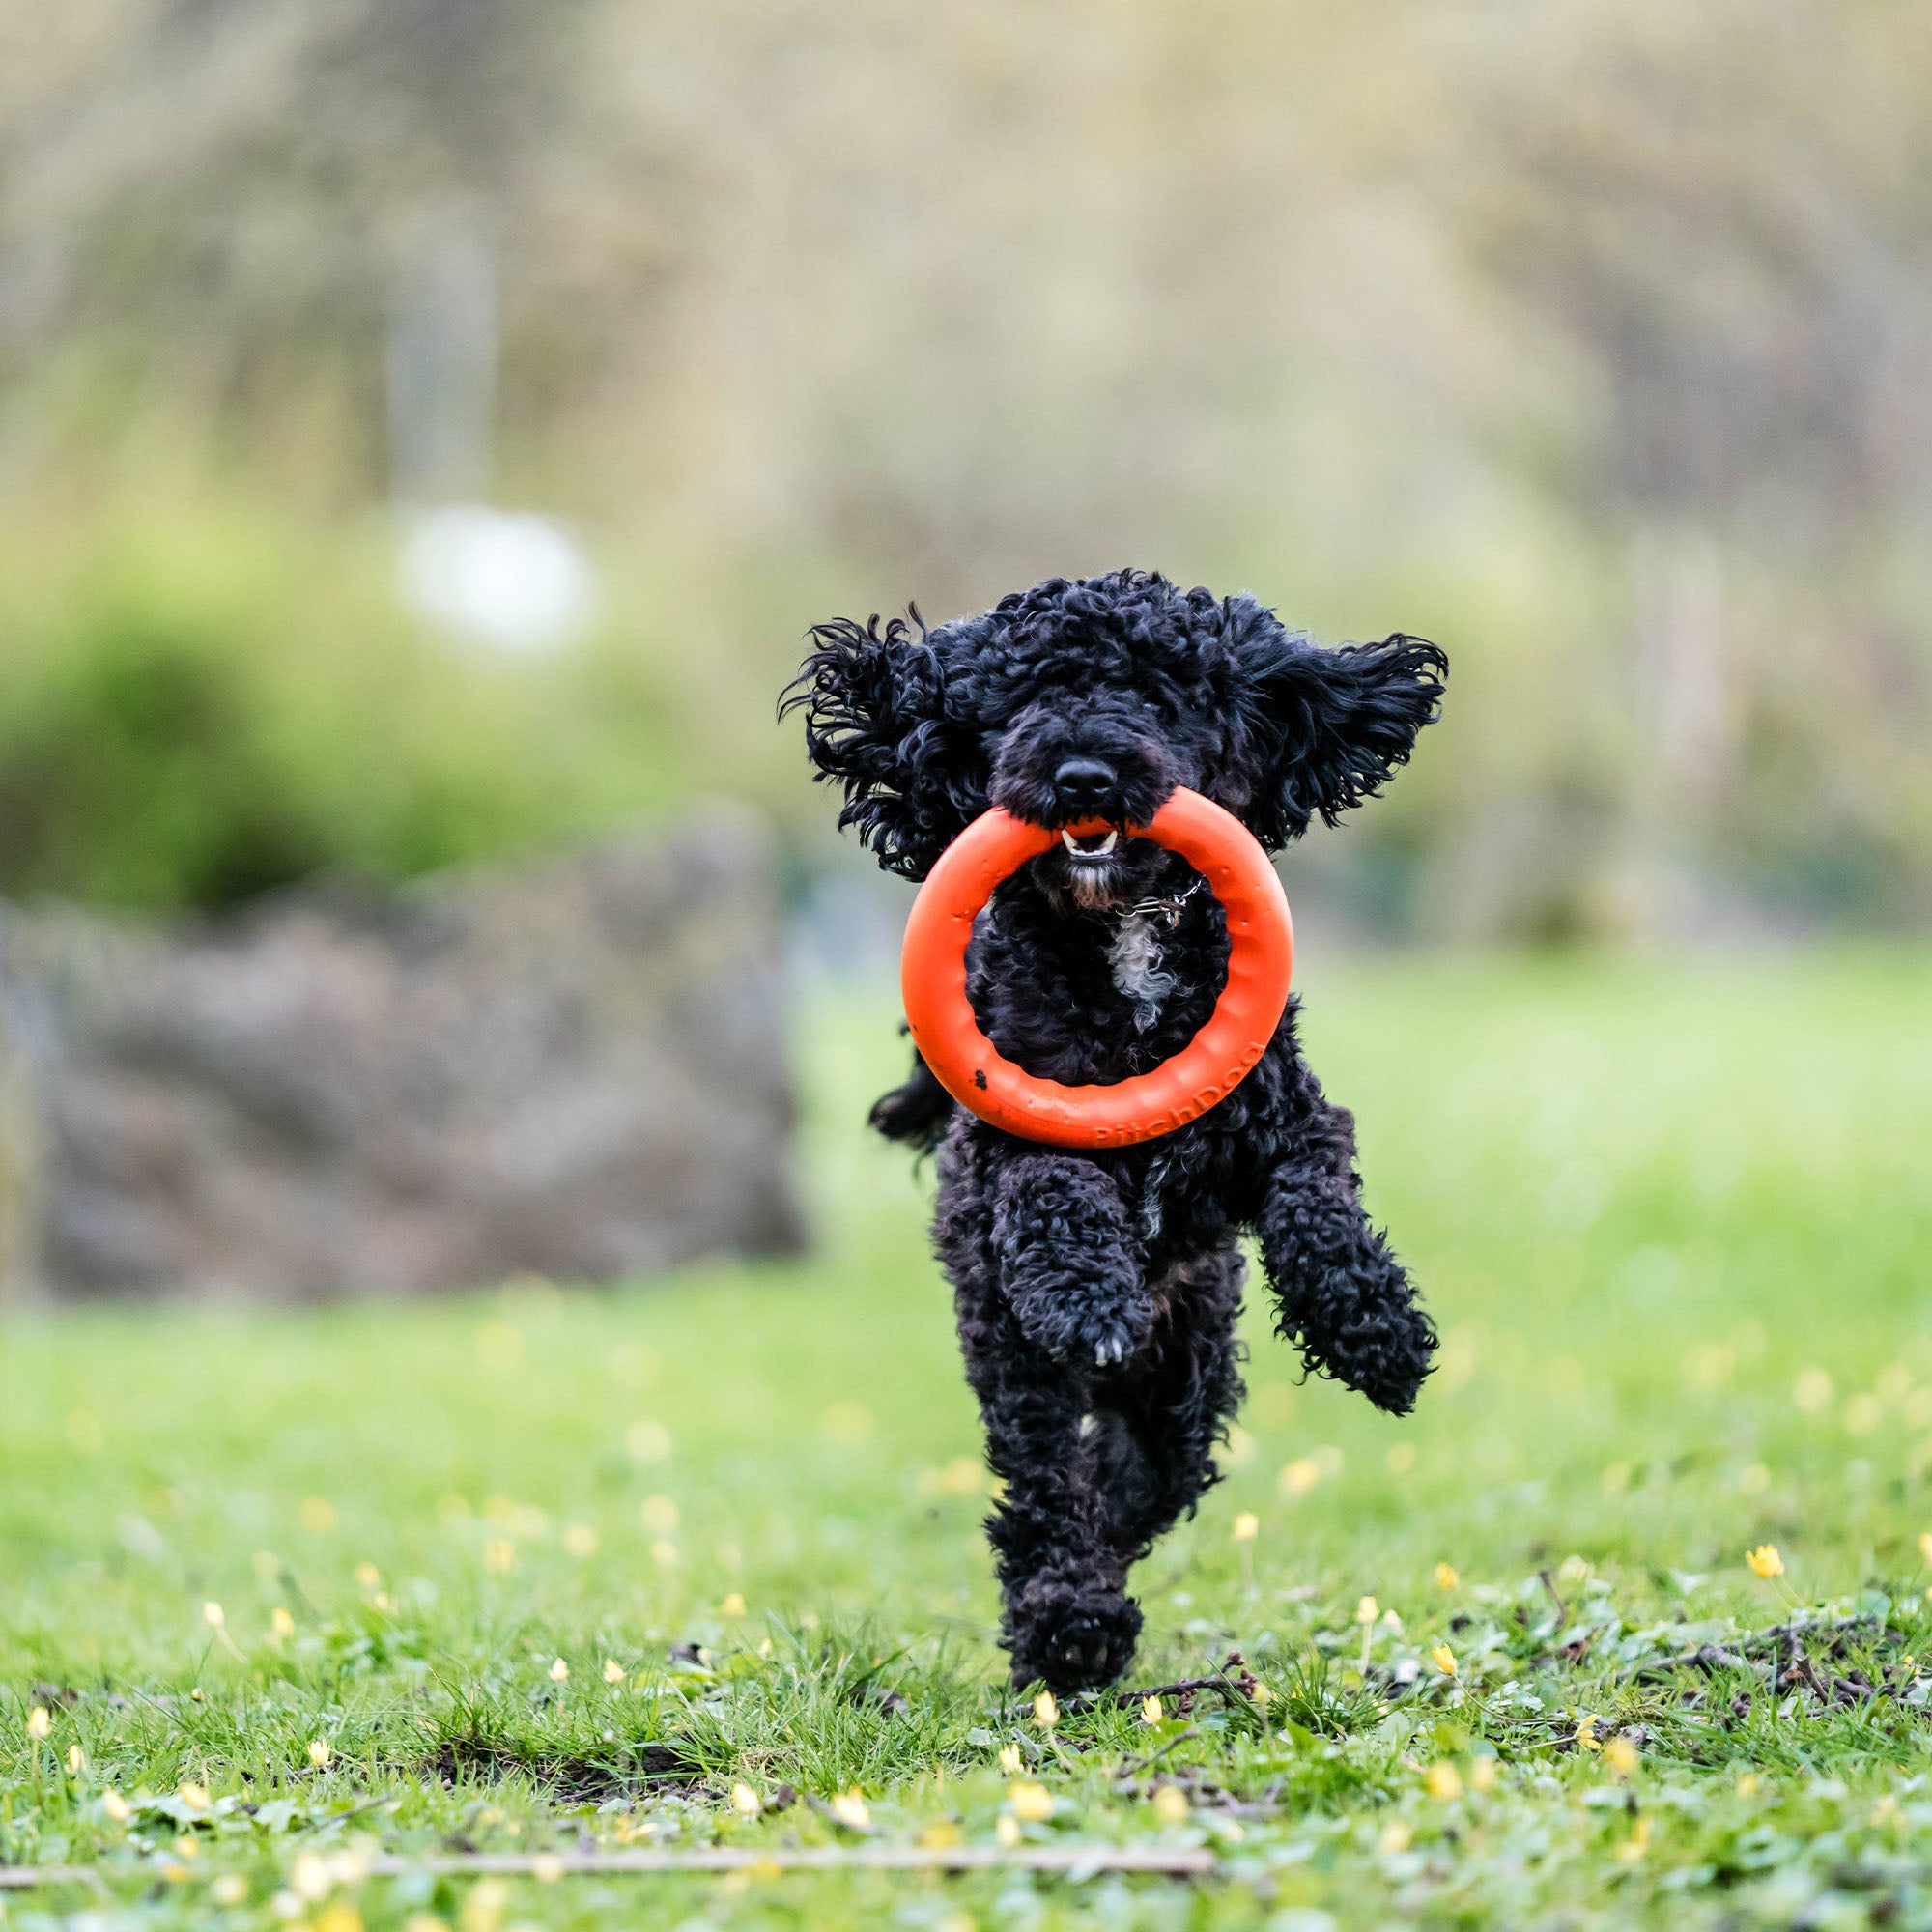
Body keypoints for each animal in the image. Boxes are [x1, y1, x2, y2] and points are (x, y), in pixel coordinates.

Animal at [788, 564, 1453, 1685]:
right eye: (1023, 699)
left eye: (1157, 693)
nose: (1083, 774)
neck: (1122, 938)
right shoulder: (1012, 1138)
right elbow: (1056, 1193)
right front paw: (1086, 1293)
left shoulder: (1287, 1119)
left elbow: (1316, 1203)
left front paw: (1378, 1331)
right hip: (1010, 1352)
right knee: (1048, 1478)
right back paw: (1069, 1621)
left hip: (1187, 1365)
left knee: (1145, 1469)